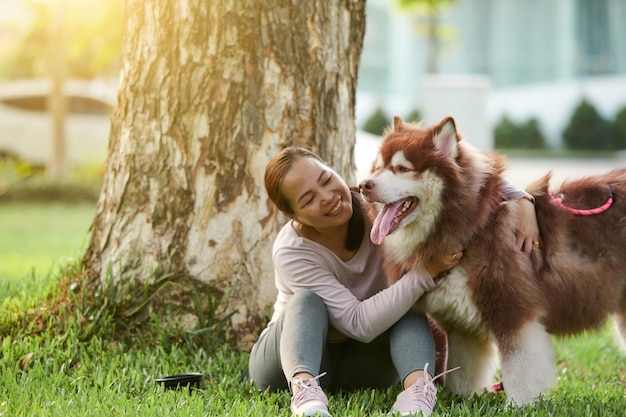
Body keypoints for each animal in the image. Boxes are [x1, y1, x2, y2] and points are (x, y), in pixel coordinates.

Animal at [356, 115, 624, 404]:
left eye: (402, 168)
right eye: (378, 167)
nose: (363, 185)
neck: (469, 230)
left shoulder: (513, 313)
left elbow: (519, 373)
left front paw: (518, 406)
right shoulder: (462, 328)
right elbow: (461, 374)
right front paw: (462, 400)